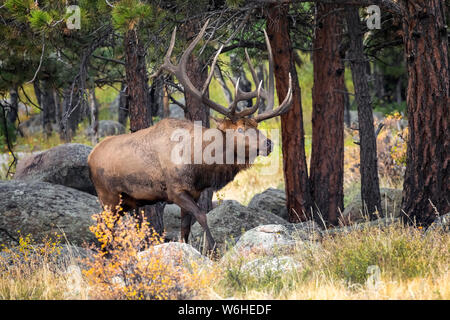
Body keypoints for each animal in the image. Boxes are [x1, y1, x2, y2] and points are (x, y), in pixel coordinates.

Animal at [88, 21, 294, 254]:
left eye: (256, 126)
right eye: (240, 129)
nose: (269, 143)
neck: (199, 166)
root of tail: (90, 157)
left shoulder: (193, 192)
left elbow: (185, 230)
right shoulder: (175, 191)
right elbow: (202, 216)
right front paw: (213, 249)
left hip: (125, 202)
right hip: (107, 196)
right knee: (102, 228)